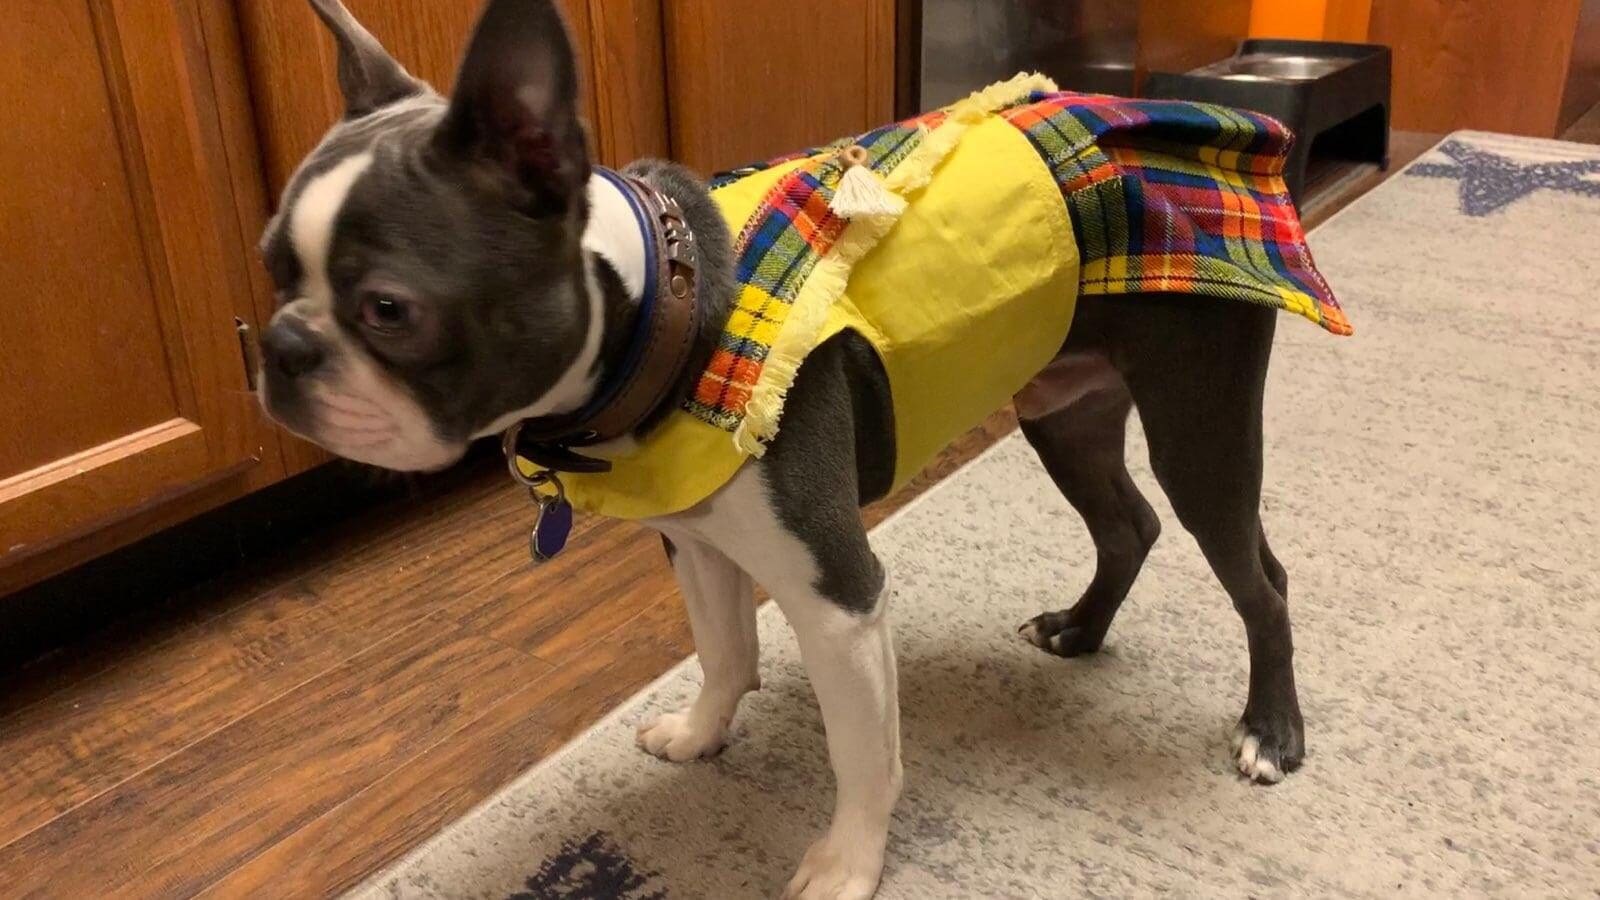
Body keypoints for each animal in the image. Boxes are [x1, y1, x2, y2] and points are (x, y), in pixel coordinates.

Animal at [256, 3, 1318, 890]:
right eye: (272, 268)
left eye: (389, 310)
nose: (275, 347)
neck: (665, 307)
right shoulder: (696, 540)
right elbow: (724, 650)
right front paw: (701, 735)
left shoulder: (839, 595)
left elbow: (863, 753)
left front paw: (847, 863)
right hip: (1062, 409)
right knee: (1127, 525)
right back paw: (1080, 630)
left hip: (1198, 419)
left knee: (1260, 577)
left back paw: (1270, 731)